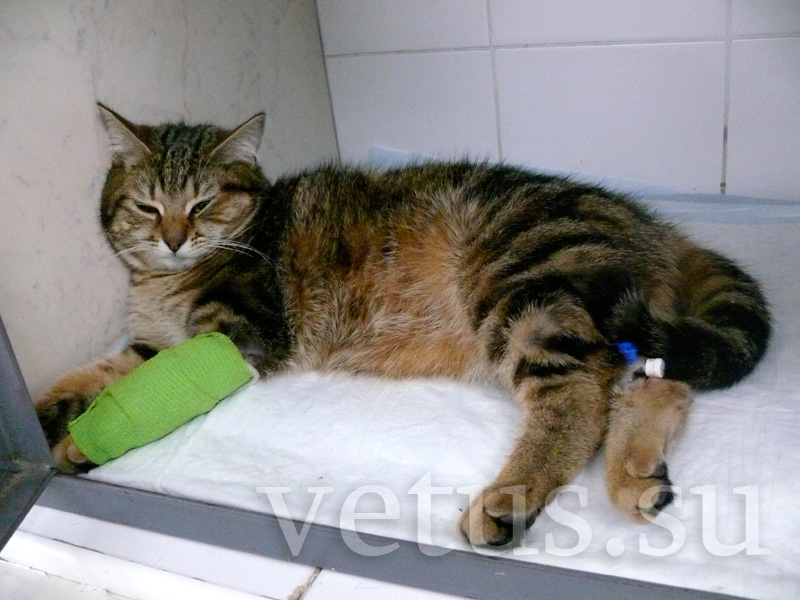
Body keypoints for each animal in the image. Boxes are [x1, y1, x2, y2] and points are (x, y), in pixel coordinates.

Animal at [35, 104, 770, 547]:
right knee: (657, 380)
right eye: (146, 205)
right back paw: (635, 473)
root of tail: (654, 226)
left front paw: (76, 440)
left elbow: (131, 388)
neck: (162, 283)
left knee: (581, 394)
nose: (174, 239)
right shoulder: (152, 342)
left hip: (521, 291)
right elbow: (103, 374)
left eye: (205, 203)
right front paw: (58, 417)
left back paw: (510, 499)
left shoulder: (235, 332)